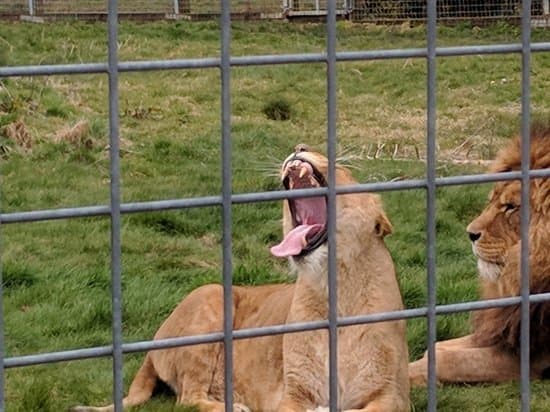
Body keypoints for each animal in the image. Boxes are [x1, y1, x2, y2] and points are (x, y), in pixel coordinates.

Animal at [72, 145, 410, 412]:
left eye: (341, 168)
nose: (300, 146)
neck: (333, 288)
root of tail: (153, 345)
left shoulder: (393, 395)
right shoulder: (292, 394)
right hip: (211, 296)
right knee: (187, 397)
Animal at [412, 124, 550, 386]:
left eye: (510, 207)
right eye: (492, 201)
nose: (470, 234)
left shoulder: (533, 359)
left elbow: (447, 360)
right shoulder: (503, 330)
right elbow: (438, 347)